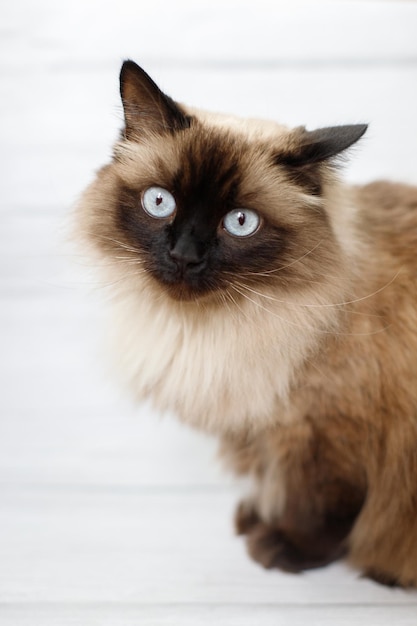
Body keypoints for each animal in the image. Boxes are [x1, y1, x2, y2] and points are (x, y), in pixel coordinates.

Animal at [75, 58, 416, 584]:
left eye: (240, 222)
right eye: (160, 202)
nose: (184, 256)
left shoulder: (325, 432)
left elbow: (318, 507)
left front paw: (283, 549)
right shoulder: (265, 428)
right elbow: (274, 485)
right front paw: (255, 521)